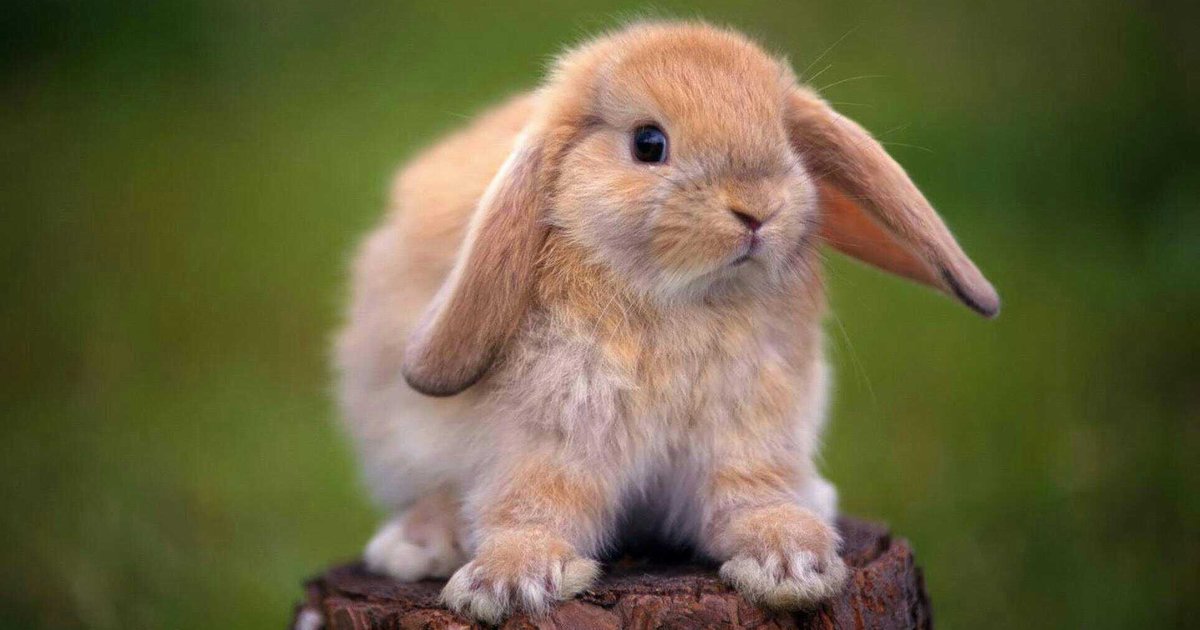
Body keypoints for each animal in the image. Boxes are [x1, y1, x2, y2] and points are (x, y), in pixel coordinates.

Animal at [335, 20, 999, 625]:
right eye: (649, 143)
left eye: (784, 137)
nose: (758, 209)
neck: (683, 299)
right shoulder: (551, 436)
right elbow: (534, 506)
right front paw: (505, 584)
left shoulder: (749, 431)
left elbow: (750, 499)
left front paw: (793, 564)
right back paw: (418, 545)